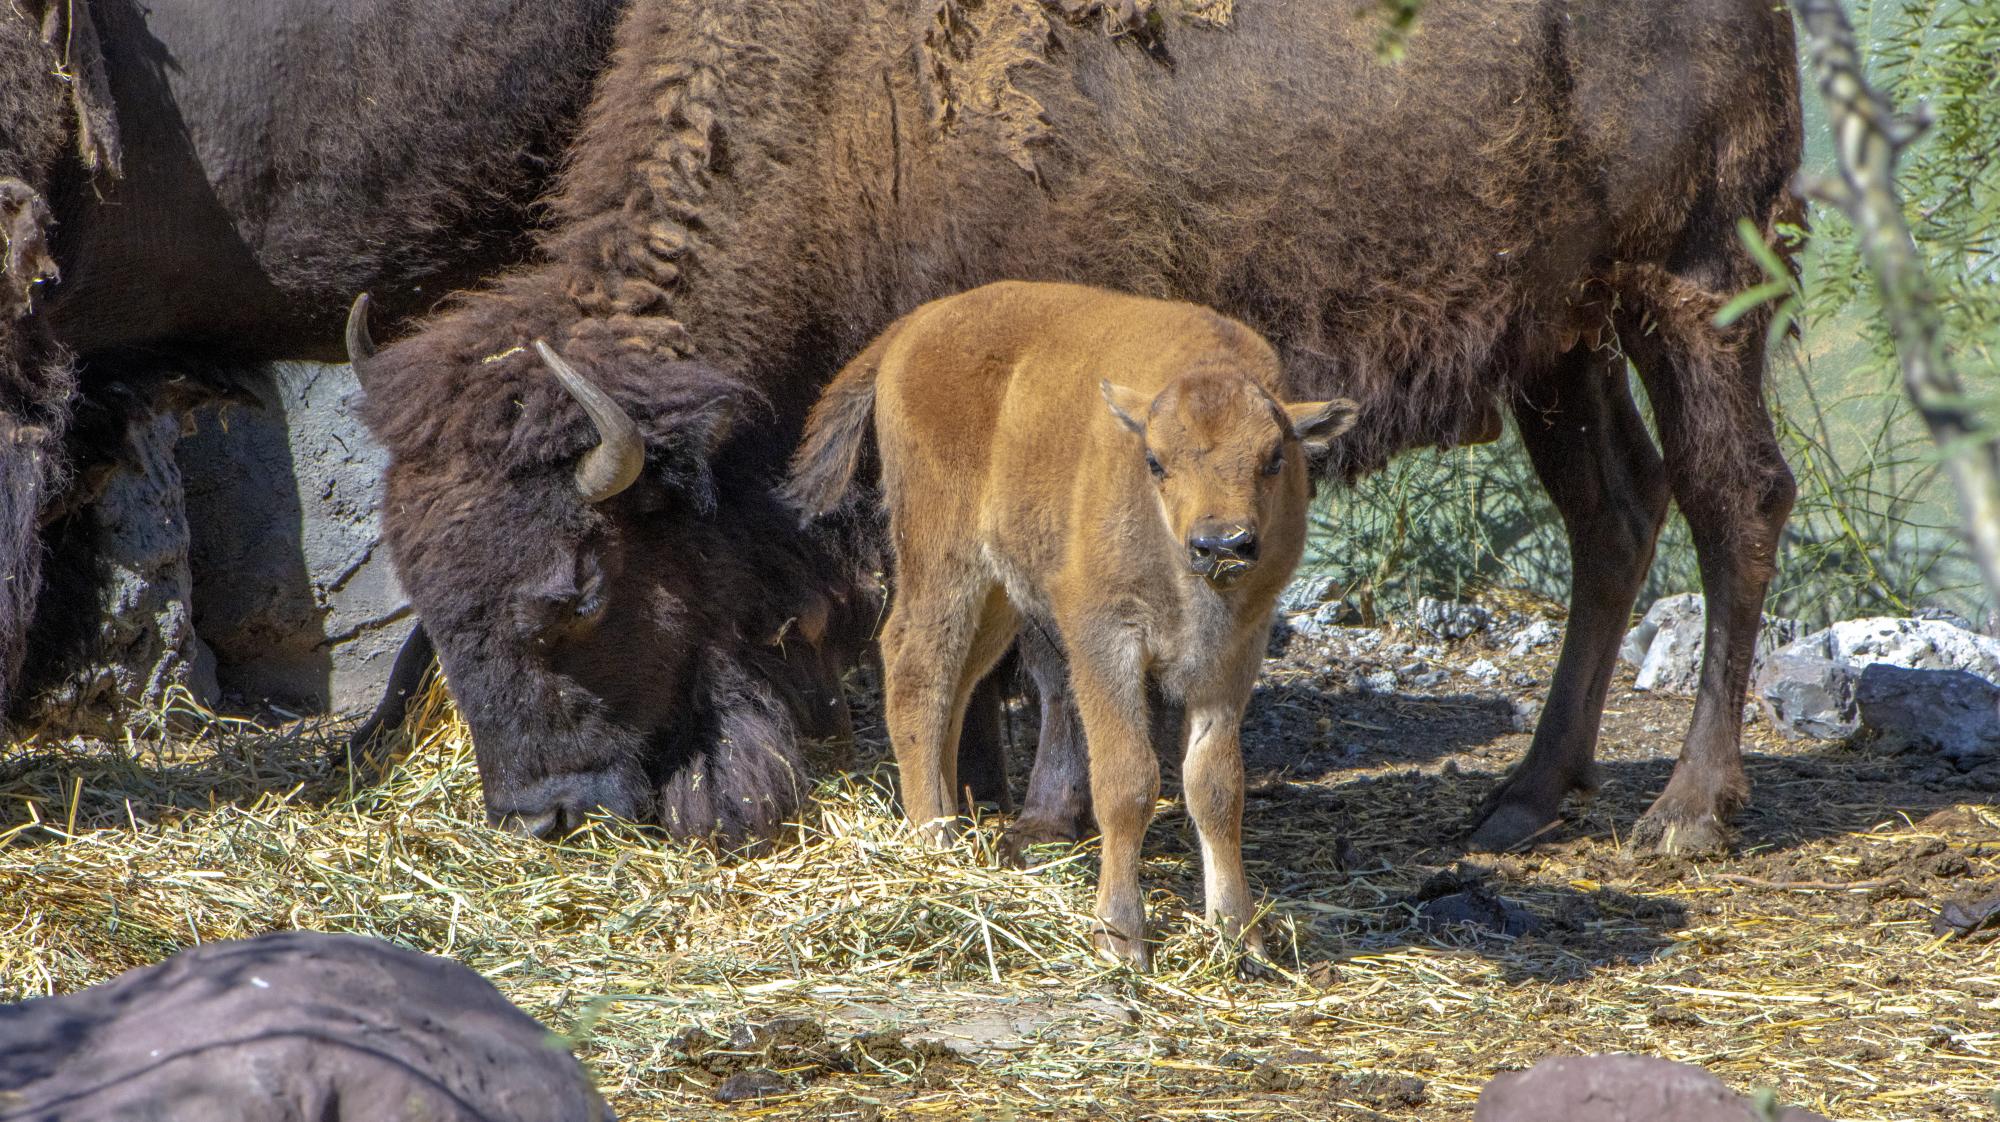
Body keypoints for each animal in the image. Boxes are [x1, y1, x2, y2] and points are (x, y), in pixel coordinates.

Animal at [352, 0, 1808, 852]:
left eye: (575, 593)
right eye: (423, 590)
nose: (541, 815)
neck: (848, 112)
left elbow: (1044, 638)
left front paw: (1044, 812)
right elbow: (985, 629)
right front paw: (985, 792)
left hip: (1696, 279)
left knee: (1732, 499)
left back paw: (1685, 812)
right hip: (1561, 332)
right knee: (1611, 517)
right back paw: (1519, 799)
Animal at [788, 282, 1352, 972]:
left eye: (1275, 459)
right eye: (1155, 461)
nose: (1222, 544)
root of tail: (915, 326)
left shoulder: (1233, 656)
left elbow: (1216, 788)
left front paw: (1240, 937)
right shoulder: (1103, 640)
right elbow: (1128, 781)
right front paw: (1121, 937)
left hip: (999, 590)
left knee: (956, 684)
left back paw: (955, 831)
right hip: (945, 557)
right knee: (916, 665)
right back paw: (933, 846)